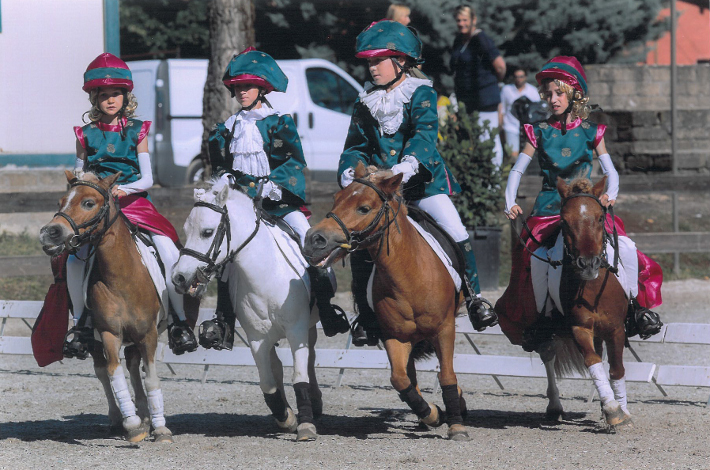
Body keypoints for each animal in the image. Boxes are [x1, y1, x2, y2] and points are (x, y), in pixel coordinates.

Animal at [38, 171, 189, 442]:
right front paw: (132, 424)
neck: (123, 277)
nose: (50, 233)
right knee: (104, 372)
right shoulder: (109, 333)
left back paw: (148, 416)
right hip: (96, 339)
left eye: (88, 203)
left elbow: (150, 378)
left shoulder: (148, 334)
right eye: (61, 202)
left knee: (134, 366)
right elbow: (113, 373)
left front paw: (160, 428)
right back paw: (123, 419)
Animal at [172, 175, 322, 440]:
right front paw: (286, 417)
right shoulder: (257, 338)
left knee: (310, 359)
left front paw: (305, 424)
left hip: (308, 328)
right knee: (277, 368)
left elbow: (300, 375)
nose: (179, 278)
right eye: (186, 230)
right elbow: (268, 383)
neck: (267, 274)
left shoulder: (297, 330)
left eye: (207, 232)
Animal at [302, 162, 472, 440]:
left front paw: (456, 424)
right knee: (409, 375)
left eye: (364, 208)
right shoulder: (394, 336)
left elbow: (447, 375)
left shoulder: (445, 330)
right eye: (337, 199)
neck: (410, 275)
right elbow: (400, 380)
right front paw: (432, 414)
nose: (314, 240)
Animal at [536, 178, 632, 428]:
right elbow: (594, 362)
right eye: (564, 221)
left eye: (599, 218)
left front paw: (623, 411)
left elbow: (616, 369)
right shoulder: (580, 328)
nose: (588, 264)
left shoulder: (616, 328)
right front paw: (612, 409)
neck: (592, 288)